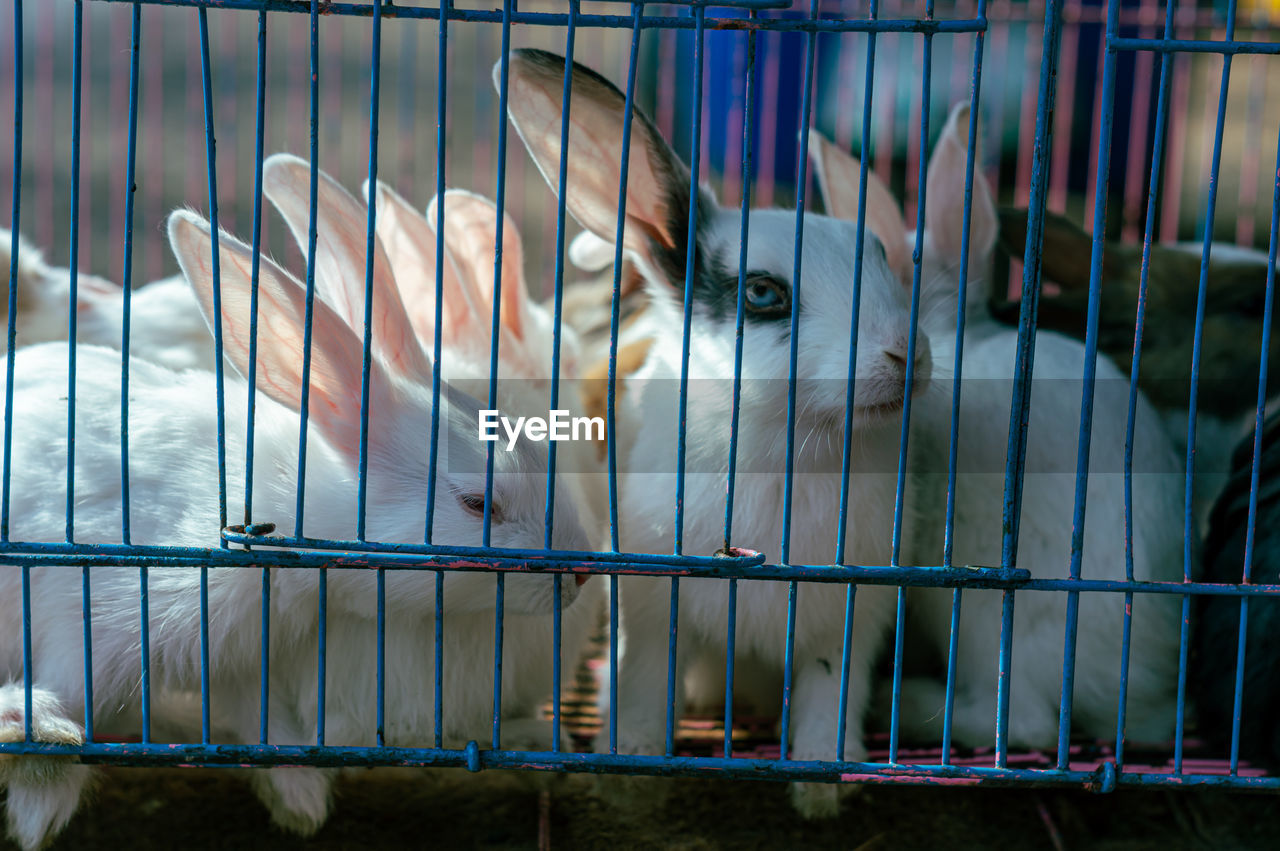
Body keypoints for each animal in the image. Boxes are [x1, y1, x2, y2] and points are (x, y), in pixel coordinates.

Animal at [0, 207, 596, 849]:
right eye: (477, 504)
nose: (582, 576)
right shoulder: (91, 623)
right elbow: (67, 698)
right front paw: (41, 801)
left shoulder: (234, 662)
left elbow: (266, 728)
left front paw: (301, 800)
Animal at [499, 47, 931, 819]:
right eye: (762, 293)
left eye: (882, 257)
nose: (905, 354)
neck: (787, 442)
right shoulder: (649, 606)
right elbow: (643, 683)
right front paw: (630, 767)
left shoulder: (848, 622)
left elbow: (826, 699)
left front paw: (819, 790)